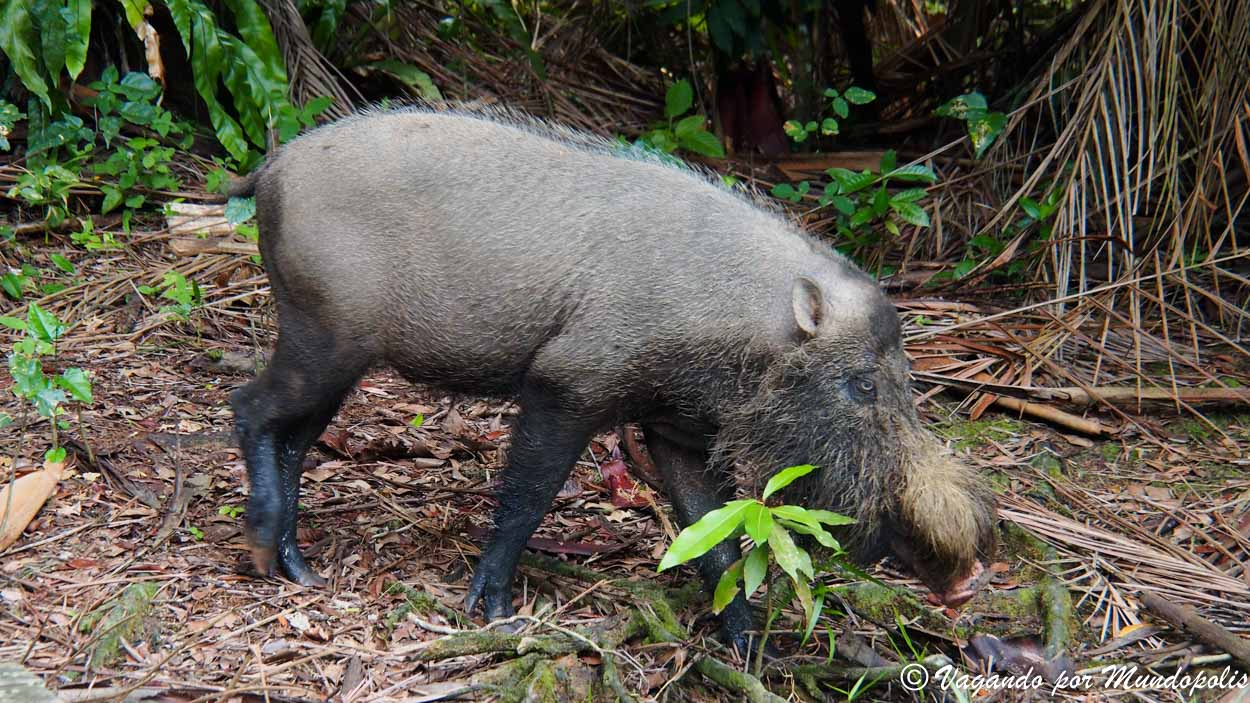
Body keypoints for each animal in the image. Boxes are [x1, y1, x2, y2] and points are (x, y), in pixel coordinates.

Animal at [229, 107, 996, 648]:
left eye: (905, 379)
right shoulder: (567, 384)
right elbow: (527, 497)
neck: (745, 330)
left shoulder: (673, 429)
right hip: (322, 336)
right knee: (250, 407)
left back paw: (300, 568)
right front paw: (496, 613)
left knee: (295, 439)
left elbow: (713, 538)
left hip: (338, 355)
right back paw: (263, 551)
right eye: (862, 385)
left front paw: (753, 650)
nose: (967, 583)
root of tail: (269, 170)